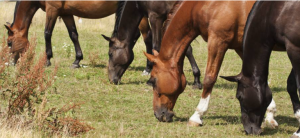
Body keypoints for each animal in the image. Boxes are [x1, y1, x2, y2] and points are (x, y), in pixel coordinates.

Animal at [6, 0, 152, 68]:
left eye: (9, 43)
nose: (11, 63)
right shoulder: (66, 13)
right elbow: (73, 35)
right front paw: (77, 60)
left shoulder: (52, 10)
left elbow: (47, 34)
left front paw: (47, 59)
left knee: (148, 37)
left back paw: (148, 68)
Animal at [143, 0, 278, 127]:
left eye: (153, 81)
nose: (158, 114)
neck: (205, 5)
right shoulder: (241, 47)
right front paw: (270, 113)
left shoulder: (217, 42)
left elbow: (209, 79)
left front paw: (197, 116)